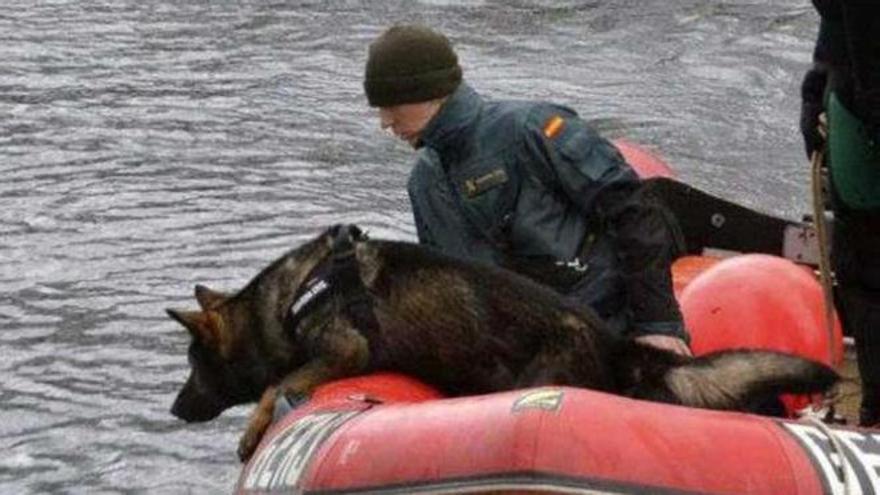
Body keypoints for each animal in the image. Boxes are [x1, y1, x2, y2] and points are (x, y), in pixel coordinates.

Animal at [170, 225, 840, 462]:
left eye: (194, 365)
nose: (175, 409)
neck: (288, 302)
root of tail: (612, 341)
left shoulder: (346, 352)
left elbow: (276, 384)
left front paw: (251, 432)